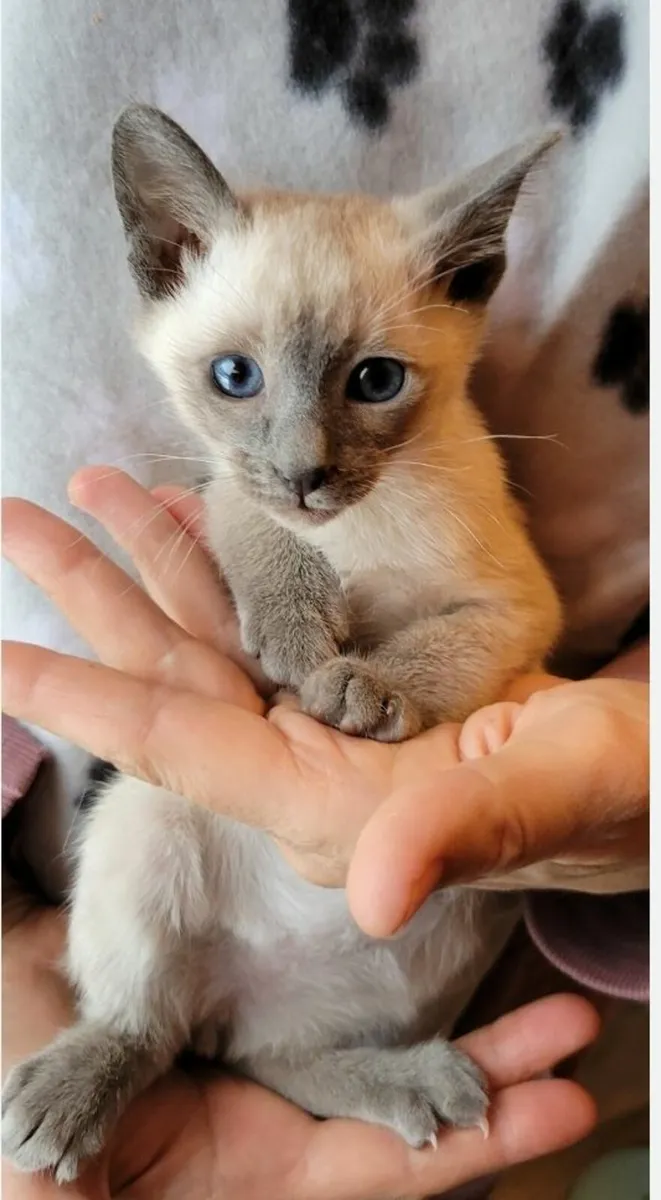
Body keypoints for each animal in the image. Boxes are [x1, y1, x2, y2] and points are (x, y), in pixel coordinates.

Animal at [2, 105, 561, 1180]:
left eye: (375, 382)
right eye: (236, 378)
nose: (307, 475)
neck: (357, 530)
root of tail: (249, 990)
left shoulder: (518, 608)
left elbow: (443, 648)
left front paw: (359, 691)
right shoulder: (229, 488)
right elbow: (248, 521)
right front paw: (302, 633)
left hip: (460, 927)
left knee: (259, 1057)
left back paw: (414, 1085)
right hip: (148, 815)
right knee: (154, 1030)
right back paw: (64, 1098)